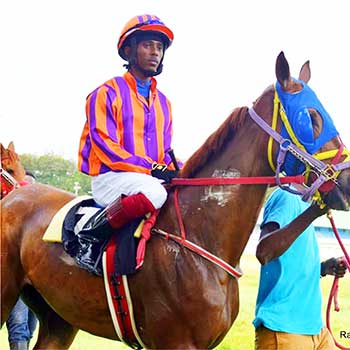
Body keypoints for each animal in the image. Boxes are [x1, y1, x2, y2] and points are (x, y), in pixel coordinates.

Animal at [2, 52, 350, 350]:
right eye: (311, 118)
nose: (345, 181)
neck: (200, 234)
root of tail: (16, 194)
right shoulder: (175, 341)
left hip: (59, 316)